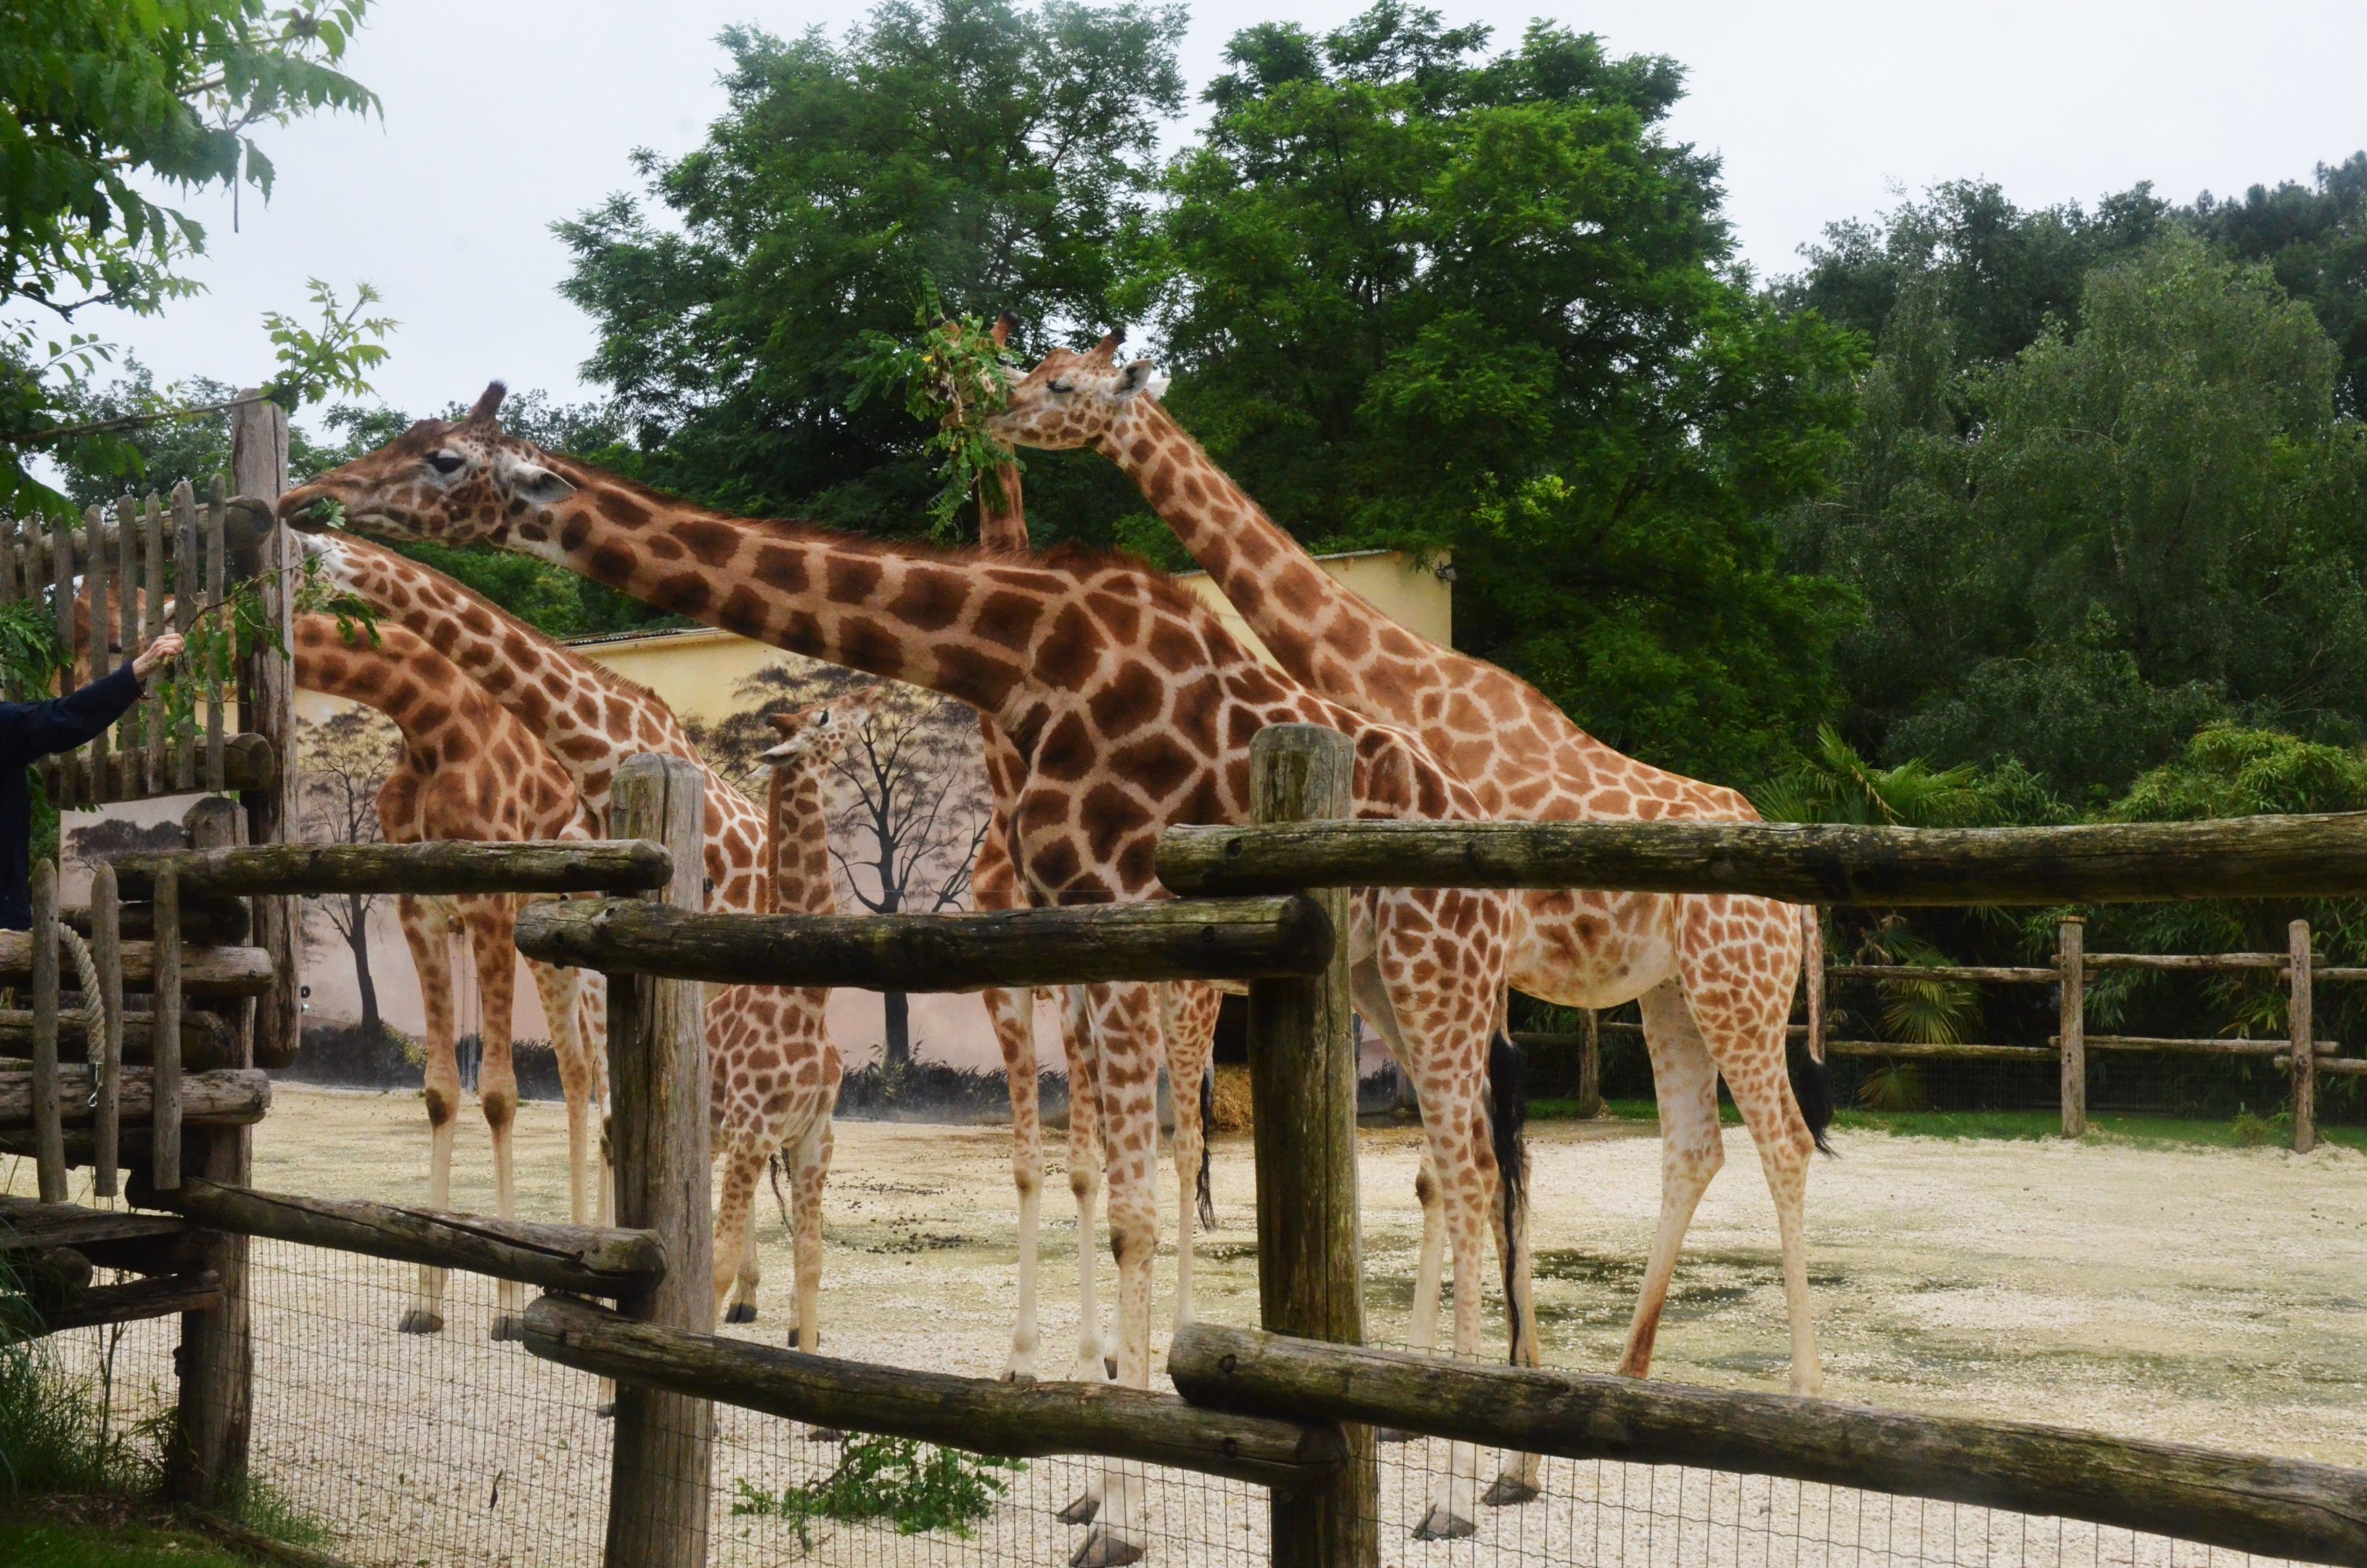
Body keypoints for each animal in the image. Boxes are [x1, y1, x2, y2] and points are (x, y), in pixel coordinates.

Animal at [292, 614, 598, 1339]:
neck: (430, 720)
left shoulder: (490, 904)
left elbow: (500, 1095)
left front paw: (509, 1308)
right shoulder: (422, 909)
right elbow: (439, 1091)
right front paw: (425, 1301)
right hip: (549, 946)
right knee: (579, 1071)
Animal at [706, 690, 877, 1344]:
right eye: (825, 717)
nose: (868, 700)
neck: (805, 997)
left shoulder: (812, 1136)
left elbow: (810, 1256)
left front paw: (804, 1342)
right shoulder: (754, 1126)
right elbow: (719, 1258)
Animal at [989, 337, 1829, 1427]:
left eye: (1059, 383)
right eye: (1036, 367)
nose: (998, 412)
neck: (1408, 685)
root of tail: (1798, 908)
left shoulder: (1468, 954)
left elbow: (1465, 1158)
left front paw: (1463, 1376)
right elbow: (1447, 1166)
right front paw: (1452, 1367)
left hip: (1741, 990)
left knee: (1784, 1143)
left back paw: (1805, 1388)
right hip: (1672, 995)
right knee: (1696, 1148)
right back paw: (1629, 1370)